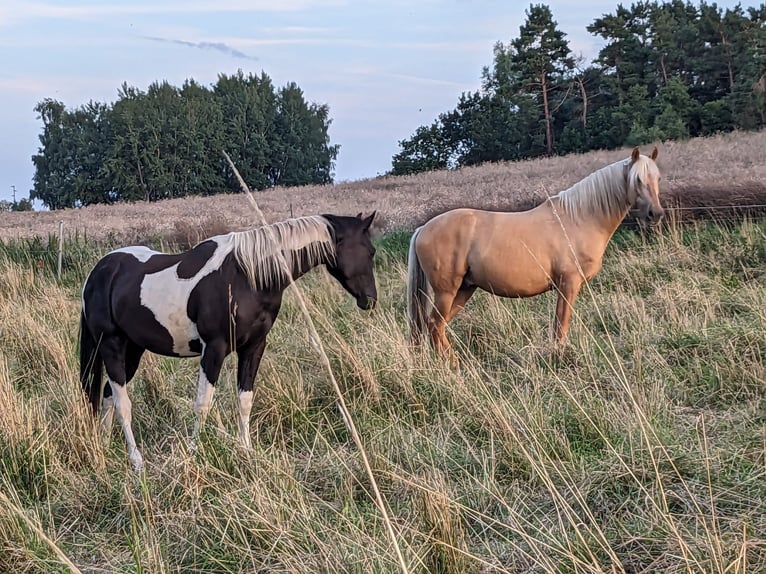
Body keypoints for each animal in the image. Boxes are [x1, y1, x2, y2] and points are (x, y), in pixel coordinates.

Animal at [80, 213, 378, 472]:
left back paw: (105, 445)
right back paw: (136, 461)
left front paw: (246, 451)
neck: (247, 275)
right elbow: (202, 404)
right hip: (112, 345)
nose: (370, 300)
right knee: (122, 402)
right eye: (370, 251)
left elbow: (245, 400)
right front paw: (194, 453)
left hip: (133, 349)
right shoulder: (214, 349)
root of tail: (99, 271)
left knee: (107, 394)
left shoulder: (254, 346)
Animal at [408, 146, 664, 358]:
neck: (578, 219)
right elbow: (561, 325)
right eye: (637, 179)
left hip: (464, 289)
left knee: (436, 326)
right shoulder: (568, 285)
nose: (656, 214)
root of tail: (422, 229)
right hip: (446, 292)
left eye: (658, 178)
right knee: (435, 325)